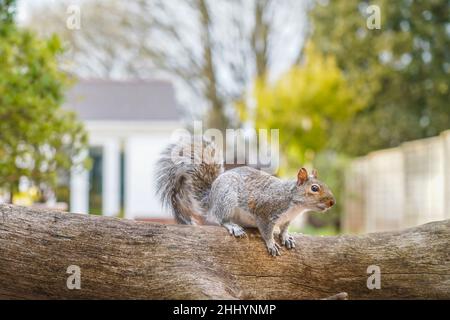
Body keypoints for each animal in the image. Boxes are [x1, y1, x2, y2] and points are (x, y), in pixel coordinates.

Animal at [155, 136, 334, 256]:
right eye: (315, 188)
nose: (332, 202)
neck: (294, 204)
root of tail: (211, 198)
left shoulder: (286, 220)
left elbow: (283, 229)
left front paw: (286, 237)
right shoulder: (265, 213)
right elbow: (267, 232)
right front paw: (271, 244)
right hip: (226, 200)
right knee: (220, 219)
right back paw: (233, 226)